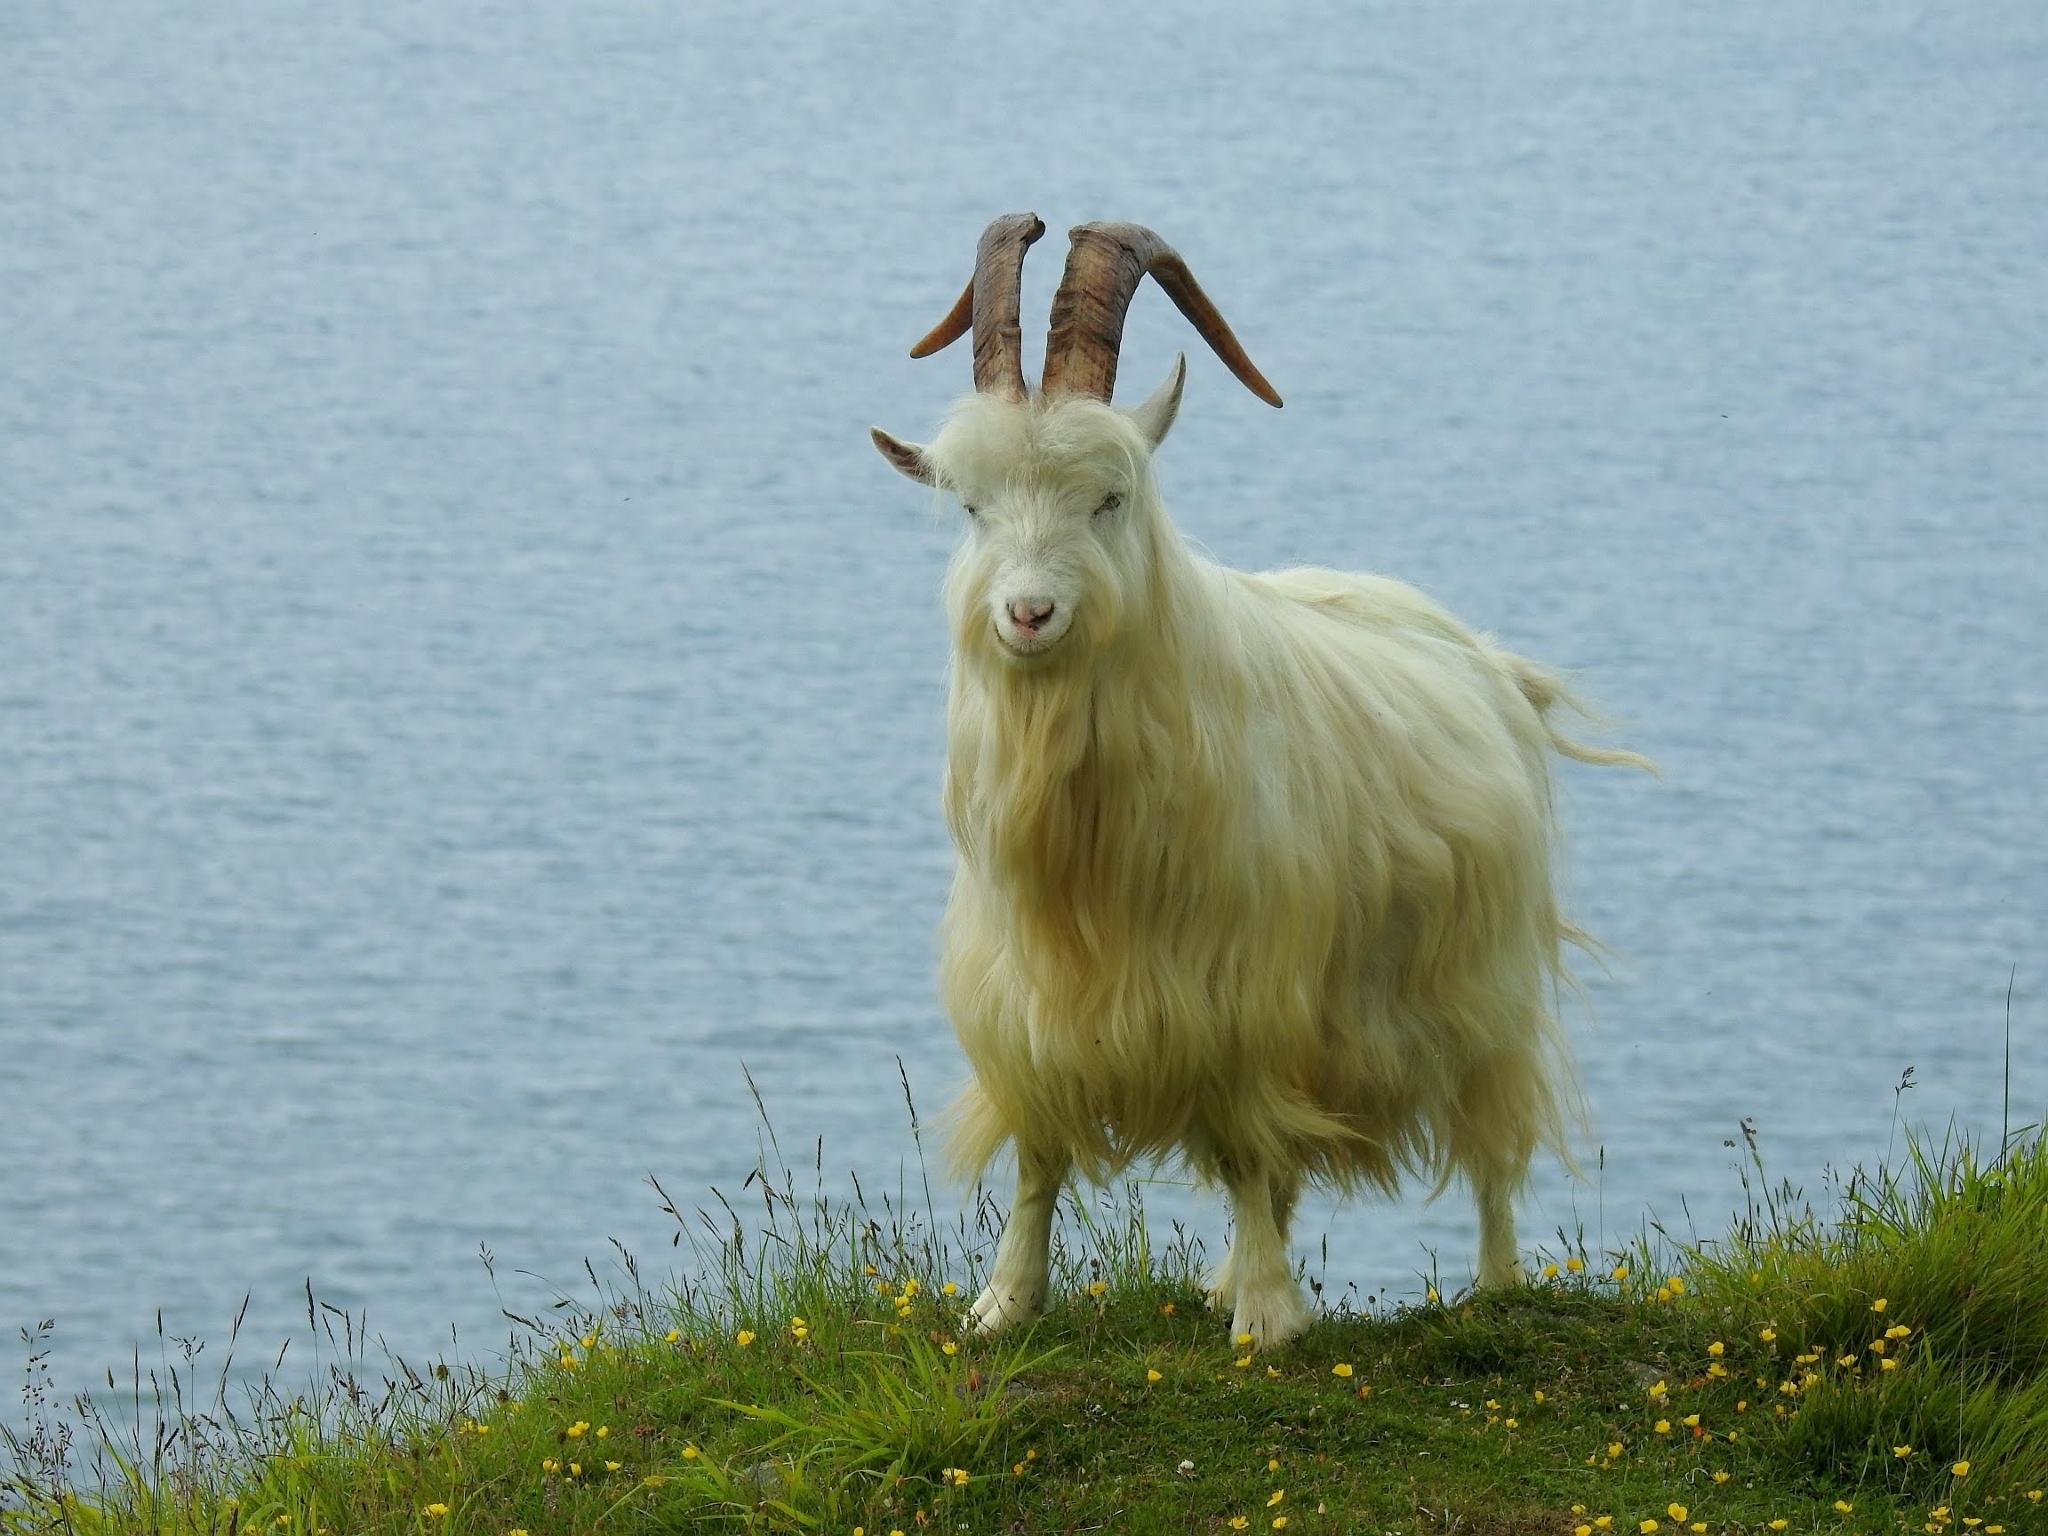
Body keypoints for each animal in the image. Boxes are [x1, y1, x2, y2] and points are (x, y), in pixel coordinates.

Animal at [871, 214, 1644, 1345]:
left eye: (1110, 499)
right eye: (969, 506)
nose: (1027, 615)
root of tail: (1491, 663)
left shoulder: (1243, 991)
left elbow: (1243, 1146)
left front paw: (1270, 1322)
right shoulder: (1027, 1002)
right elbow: (1040, 1156)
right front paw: (1004, 1303)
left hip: (1474, 983)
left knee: (1487, 1139)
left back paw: (1493, 1286)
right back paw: (1230, 1275)